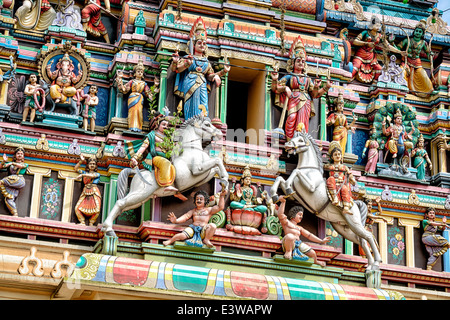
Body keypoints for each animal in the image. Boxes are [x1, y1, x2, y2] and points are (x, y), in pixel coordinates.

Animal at [268, 132, 382, 276]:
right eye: (293, 138)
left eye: (300, 140)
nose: (287, 144)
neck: (308, 168)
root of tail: (355, 204)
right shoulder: (295, 195)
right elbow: (280, 179)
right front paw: (275, 194)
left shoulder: (311, 187)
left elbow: (295, 172)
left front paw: (286, 186)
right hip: (343, 227)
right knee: (361, 240)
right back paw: (370, 266)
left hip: (354, 220)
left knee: (368, 236)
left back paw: (377, 263)